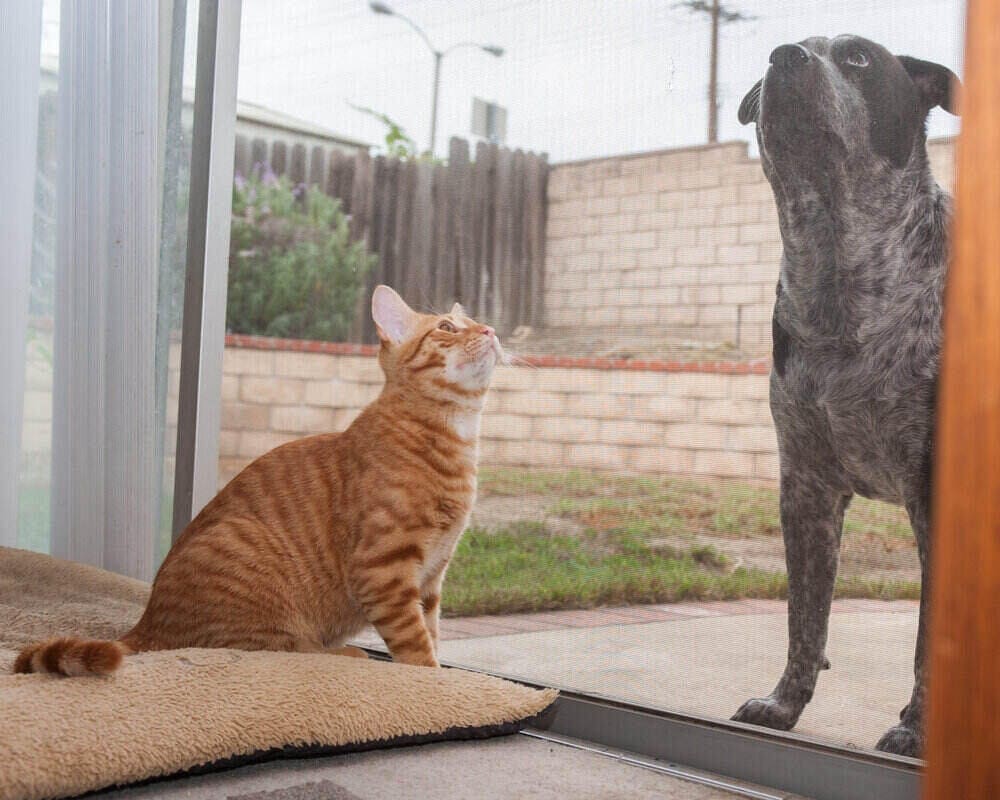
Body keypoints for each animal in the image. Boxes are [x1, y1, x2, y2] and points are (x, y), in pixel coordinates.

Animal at [15, 286, 500, 676]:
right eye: (447, 327)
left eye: (475, 322)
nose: (491, 329)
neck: (454, 439)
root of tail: (147, 621)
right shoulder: (383, 570)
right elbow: (415, 644)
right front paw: (435, 681)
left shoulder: (432, 577)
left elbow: (432, 630)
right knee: (276, 648)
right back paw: (347, 654)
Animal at [736, 34, 960, 756]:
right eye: (782, 53)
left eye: (859, 58)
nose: (785, 57)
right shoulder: (806, 486)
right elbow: (805, 618)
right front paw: (784, 705)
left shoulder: (934, 492)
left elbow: (927, 643)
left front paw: (916, 732)